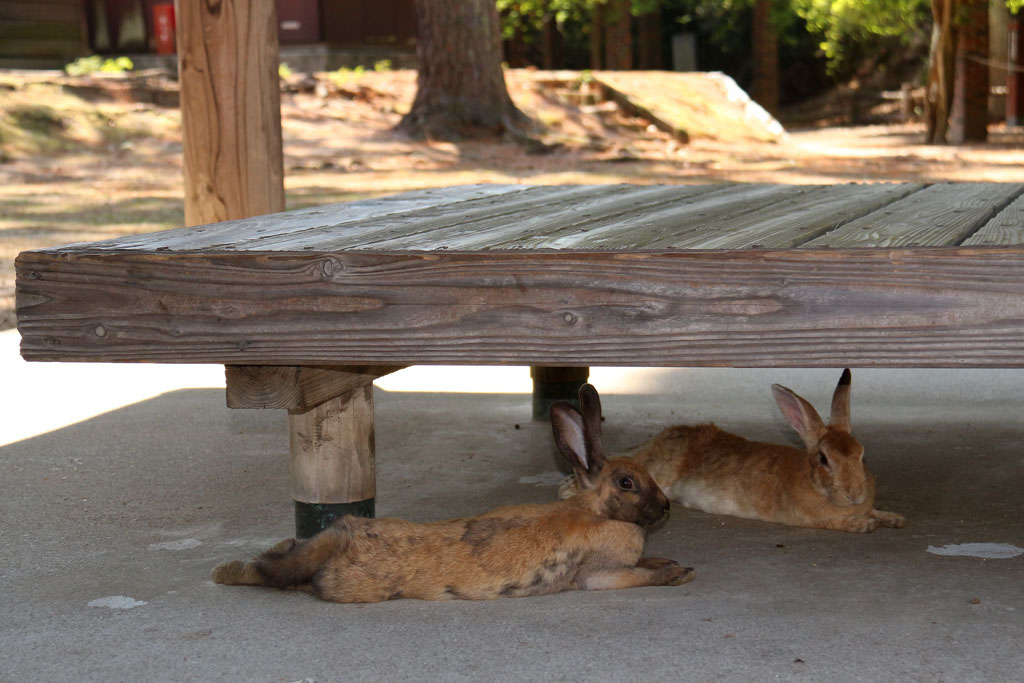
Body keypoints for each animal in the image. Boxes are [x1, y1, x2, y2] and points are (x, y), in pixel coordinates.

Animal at [212, 384, 695, 602]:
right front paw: (680, 573)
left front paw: (668, 562)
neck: (599, 513)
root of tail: (342, 535)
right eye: (627, 483)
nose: (666, 508)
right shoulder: (601, 575)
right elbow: (638, 576)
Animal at [561, 370, 905, 534]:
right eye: (824, 459)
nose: (855, 494)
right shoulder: (809, 518)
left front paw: (892, 518)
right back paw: (568, 488)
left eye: (862, 454)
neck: (817, 486)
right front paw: (863, 524)